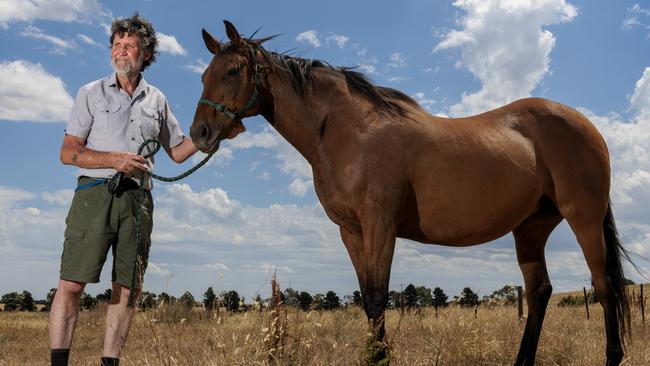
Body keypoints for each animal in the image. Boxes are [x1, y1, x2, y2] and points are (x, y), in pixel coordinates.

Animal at [186, 21, 628, 364]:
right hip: (531, 228)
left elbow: (379, 297)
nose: (200, 133)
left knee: (604, 285)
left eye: (233, 70)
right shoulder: (351, 232)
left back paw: (613, 356)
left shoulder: (380, 223)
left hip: (583, 218)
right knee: (539, 293)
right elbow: (367, 301)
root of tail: (587, 126)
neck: (349, 132)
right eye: (204, 75)